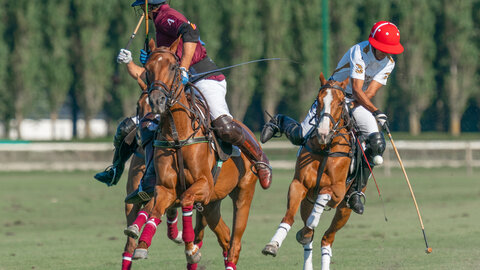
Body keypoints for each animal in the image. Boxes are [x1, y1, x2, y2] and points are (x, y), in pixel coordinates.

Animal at [131, 38, 258, 270]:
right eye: (148, 68)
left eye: (173, 67)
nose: (157, 101)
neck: (178, 135)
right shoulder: (166, 188)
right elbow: (155, 210)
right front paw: (142, 245)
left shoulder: (204, 185)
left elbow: (187, 198)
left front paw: (191, 250)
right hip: (213, 204)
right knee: (225, 237)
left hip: (244, 192)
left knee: (235, 243)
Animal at [262, 74, 356, 270]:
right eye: (318, 101)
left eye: (340, 102)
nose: (323, 133)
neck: (326, 148)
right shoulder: (299, 184)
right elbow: (289, 217)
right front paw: (273, 244)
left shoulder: (337, 192)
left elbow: (321, 203)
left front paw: (308, 227)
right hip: (307, 201)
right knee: (311, 238)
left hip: (344, 209)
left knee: (327, 238)